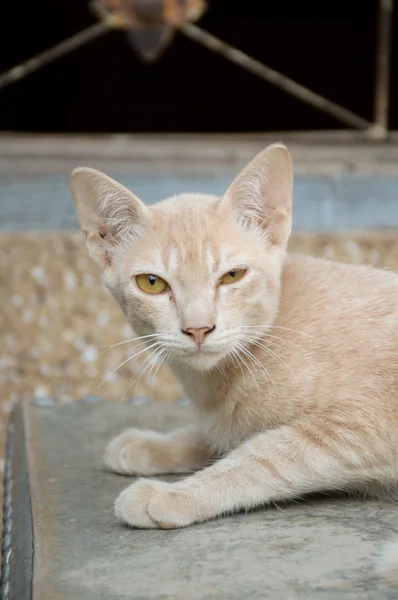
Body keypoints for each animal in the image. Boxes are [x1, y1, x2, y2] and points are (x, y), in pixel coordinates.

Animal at [70, 143, 398, 584]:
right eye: (151, 283)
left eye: (232, 276)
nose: (198, 328)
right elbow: (222, 434)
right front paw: (156, 444)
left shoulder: (366, 424)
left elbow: (265, 455)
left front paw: (174, 494)